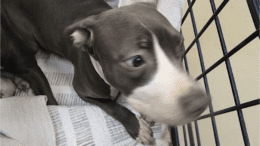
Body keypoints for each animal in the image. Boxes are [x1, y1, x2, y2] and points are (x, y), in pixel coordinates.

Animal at [1, 0, 210, 144]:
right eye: (136, 61)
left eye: (180, 45)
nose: (200, 103)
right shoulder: (84, 91)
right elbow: (114, 107)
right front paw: (137, 127)